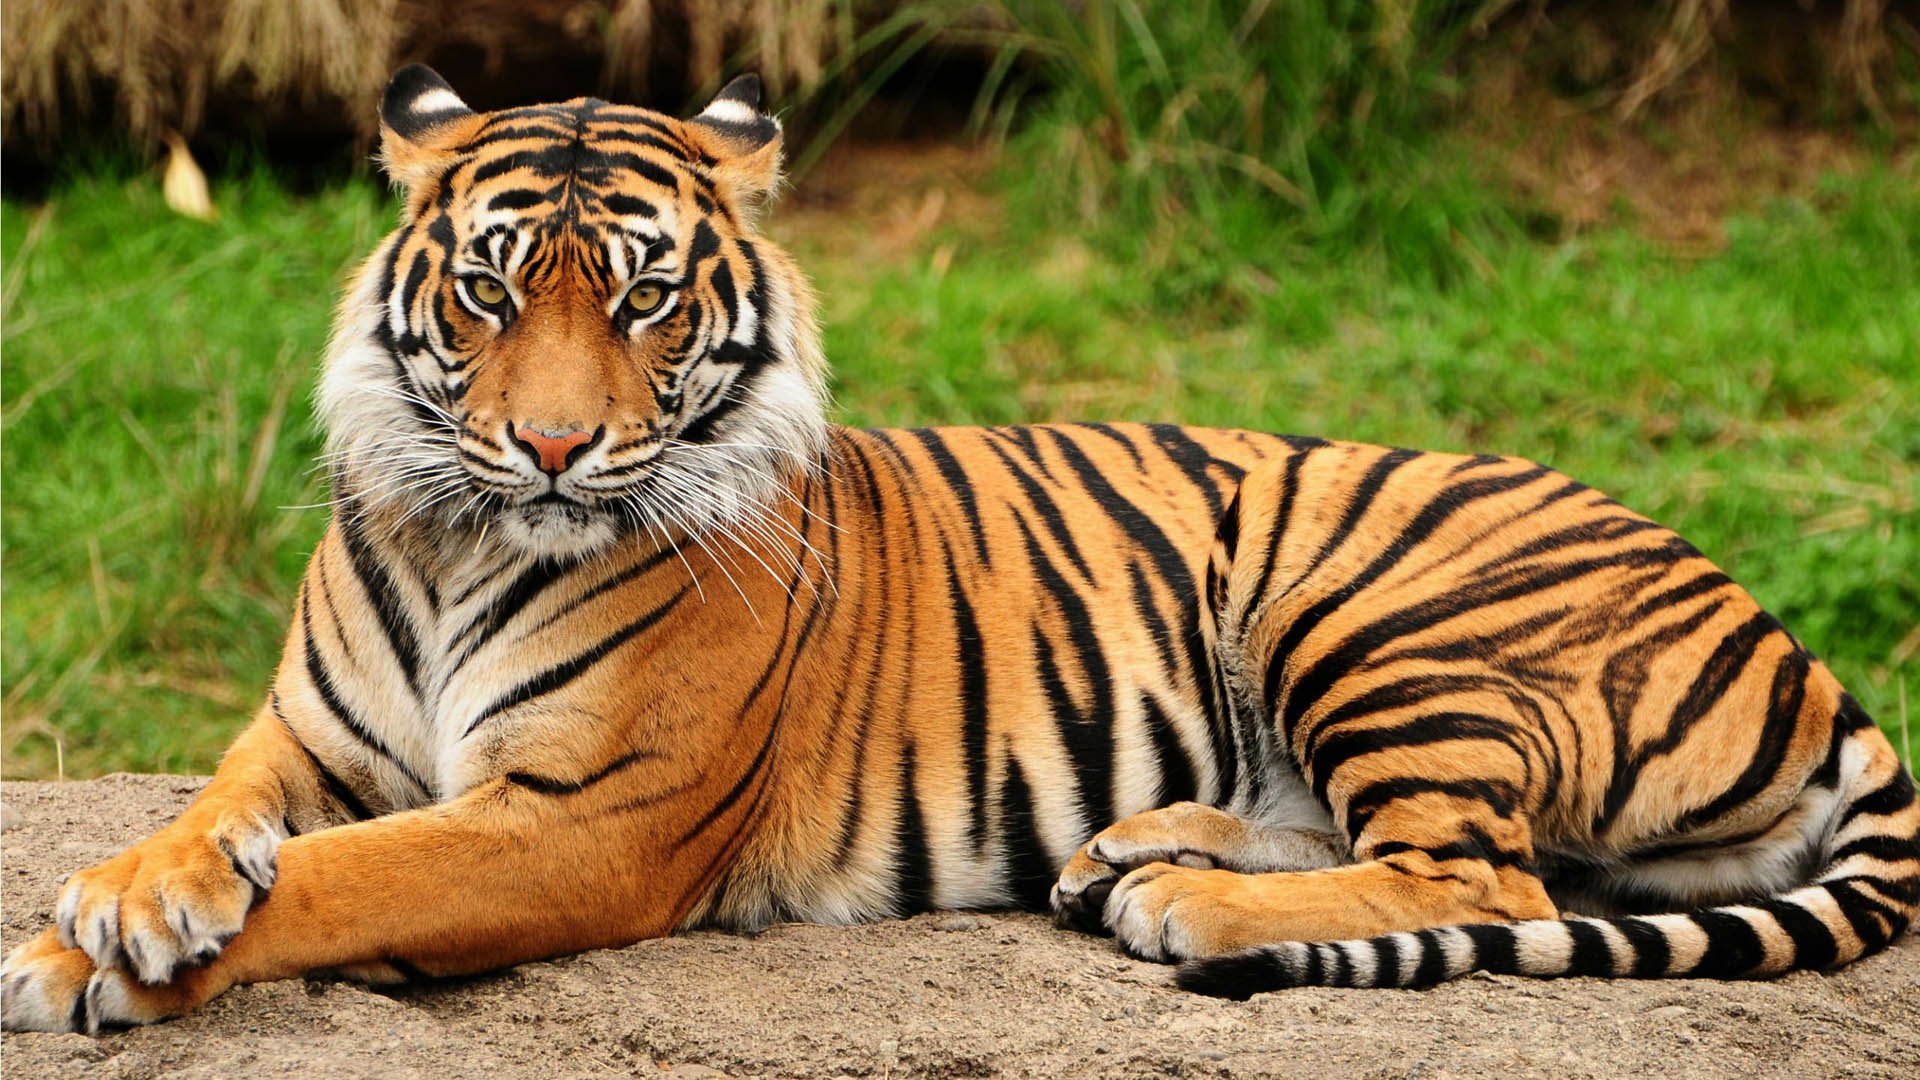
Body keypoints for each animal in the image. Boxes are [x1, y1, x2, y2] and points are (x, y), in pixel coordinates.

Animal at [3, 64, 1916, 1034]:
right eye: (488, 289)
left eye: (639, 297)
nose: (550, 447)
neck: (467, 534)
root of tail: (1794, 643)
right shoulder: (306, 739)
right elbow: (222, 818)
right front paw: (121, 899)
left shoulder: (580, 821)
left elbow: (345, 881)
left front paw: (85, 955)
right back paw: (1132, 851)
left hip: (1371, 601)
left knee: (1490, 878)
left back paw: (1186, 903)